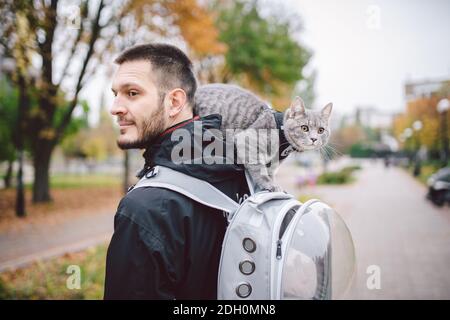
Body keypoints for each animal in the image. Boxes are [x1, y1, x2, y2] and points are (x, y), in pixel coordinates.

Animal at [192, 84, 330, 191]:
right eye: (304, 128)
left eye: (321, 130)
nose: (314, 139)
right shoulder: (247, 141)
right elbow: (259, 168)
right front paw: (269, 184)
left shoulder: (273, 163)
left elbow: (269, 172)